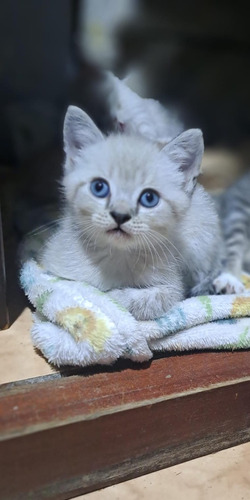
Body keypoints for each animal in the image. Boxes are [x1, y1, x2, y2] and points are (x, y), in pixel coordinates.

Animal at [40, 105, 224, 320]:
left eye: (149, 198)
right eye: (99, 187)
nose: (120, 215)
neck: (117, 254)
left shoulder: (171, 286)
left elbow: (140, 300)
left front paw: (116, 295)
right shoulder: (56, 272)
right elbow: (79, 288)